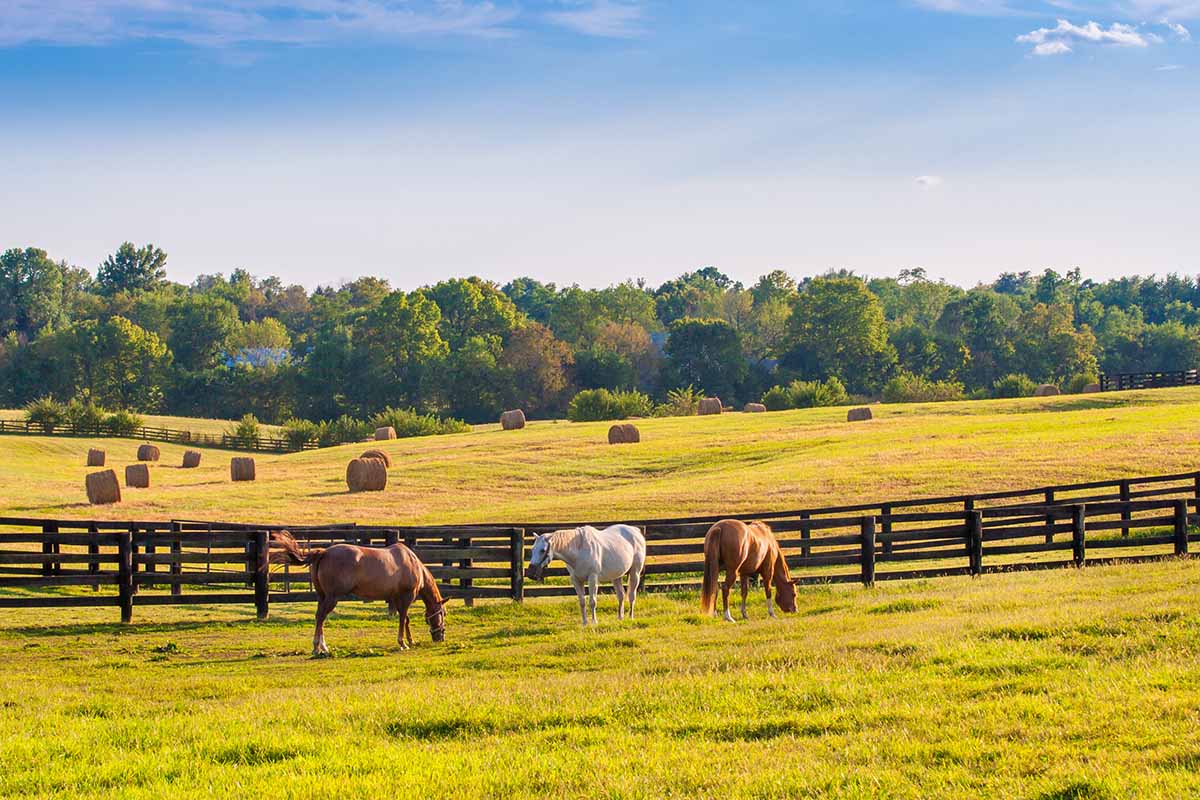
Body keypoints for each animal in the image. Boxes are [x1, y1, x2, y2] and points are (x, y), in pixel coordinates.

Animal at [269, 531, 448, 656]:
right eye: (443, 613)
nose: (440, 637)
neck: (412, 563)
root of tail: (324, 553)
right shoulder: (406, 597)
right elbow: (403, 618)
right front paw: (403, 643)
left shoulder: (397, 598)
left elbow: (406, 620)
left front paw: (410, 641)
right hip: (332, 598)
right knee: (321, 617)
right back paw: (318, 647)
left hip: (322, 597)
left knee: (319, 617)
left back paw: (322, 647)